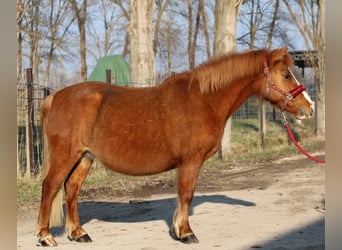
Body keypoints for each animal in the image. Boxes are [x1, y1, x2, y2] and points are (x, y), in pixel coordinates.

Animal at [36, 47, 312, 246]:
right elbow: (186, 194)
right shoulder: (190, 162)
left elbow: (184, 196)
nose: (308, 108)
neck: (203, 100)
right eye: (286, 75)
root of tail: (55, 96)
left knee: (71, 190)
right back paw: (45, 237)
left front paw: (180, 230)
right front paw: (185, 233)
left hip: (85, 157)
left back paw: (78, 233)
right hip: (65, 156)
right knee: (50, 188)